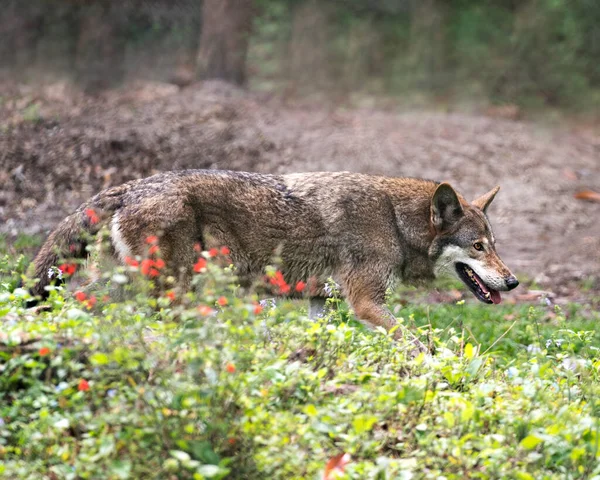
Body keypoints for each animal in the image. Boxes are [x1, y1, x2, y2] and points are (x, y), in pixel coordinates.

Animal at [28, 171, 516, 340]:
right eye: (478, 246)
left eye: (493, 244)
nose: (512, 282)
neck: (395, 220)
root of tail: (131, 186)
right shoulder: (365, 302)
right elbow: (419, 345)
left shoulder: (321, 303)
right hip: (173, 291)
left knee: (74, 302)